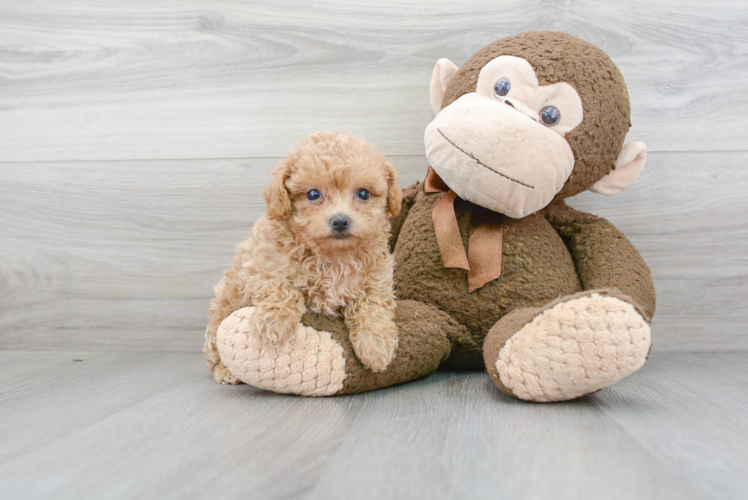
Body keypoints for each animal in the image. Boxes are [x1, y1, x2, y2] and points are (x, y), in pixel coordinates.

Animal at [203, 132, 404, 382]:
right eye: (313, 194)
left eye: (363, 193)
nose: (340, 220)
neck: (333, 257)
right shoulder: (258, 268)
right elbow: (283, 288)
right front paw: (274, 322)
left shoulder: (377, 280)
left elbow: (373, 307)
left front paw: (376, 347)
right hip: (222, 308)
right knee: (214, 345)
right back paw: (225, 370)